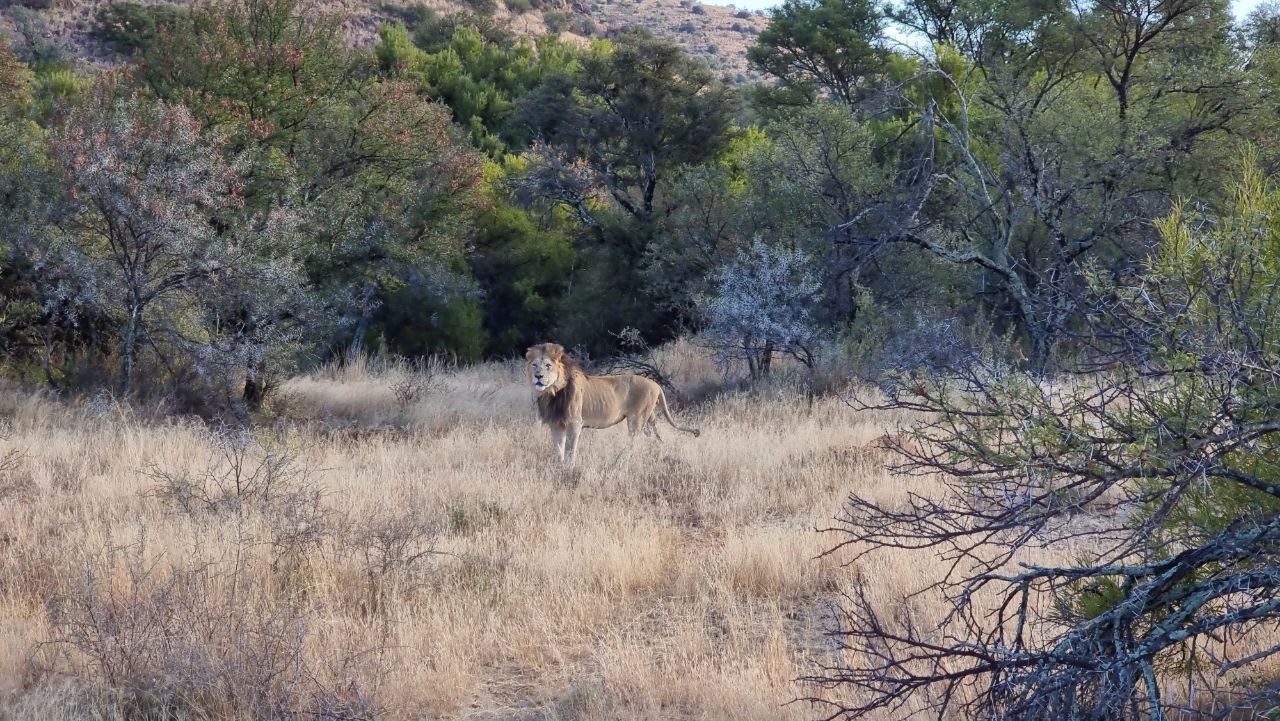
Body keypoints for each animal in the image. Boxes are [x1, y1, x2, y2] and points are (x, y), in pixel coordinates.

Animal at [522, 343, 701, 463]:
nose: (538, 376)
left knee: (634, 442)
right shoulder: (556, 424)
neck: (552, 392)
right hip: (648, 419)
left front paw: (569, 469)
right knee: (655, 438)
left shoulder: (575, 423)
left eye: (548, 365)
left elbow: (570, 450)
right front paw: (559, 469)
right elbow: (558, 450)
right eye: (534, 365)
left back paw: (622, 460)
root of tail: (656, 385)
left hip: (636, 419)